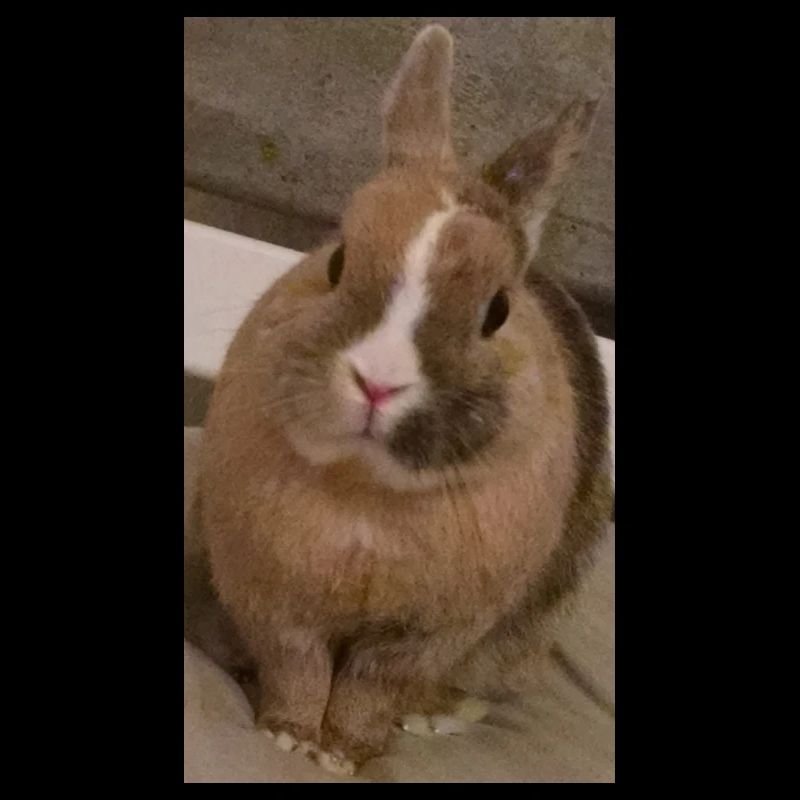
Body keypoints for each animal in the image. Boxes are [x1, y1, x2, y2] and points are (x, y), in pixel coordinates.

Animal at [199, 24, 612, 776]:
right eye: (337, 262)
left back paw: (433, 716)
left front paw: (345, 752)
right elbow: (298, 670)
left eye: (497, 310)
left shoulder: (424, 635)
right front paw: (290, 736)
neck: (366, 495)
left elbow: (370, 688)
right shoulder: (277, 606)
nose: (377, 380)